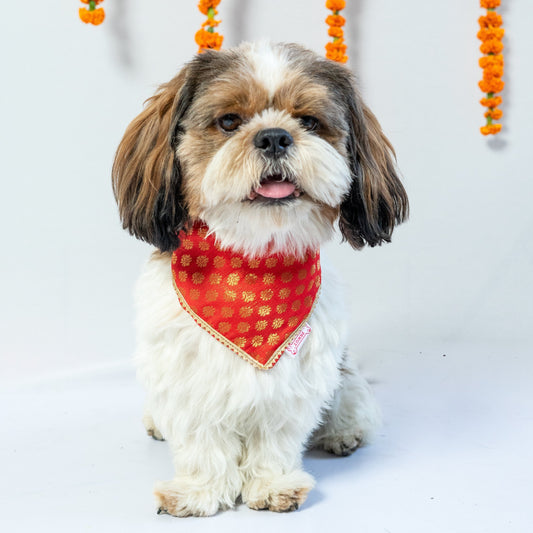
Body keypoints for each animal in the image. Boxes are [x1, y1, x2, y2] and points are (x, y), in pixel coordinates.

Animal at [112, 40, 408, 516]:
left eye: (309, 122)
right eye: (229, 121)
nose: (273, 136)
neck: (253, 261)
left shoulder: (294, 376)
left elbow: (275, 435)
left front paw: (272, 484)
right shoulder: (187, 371)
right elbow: (201, 441)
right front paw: (199, 492)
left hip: (343, 377)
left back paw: (344, 432)